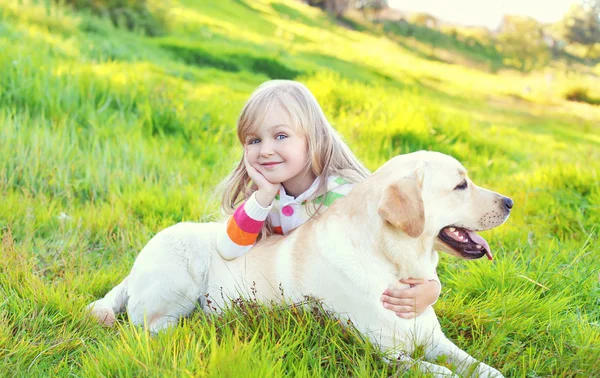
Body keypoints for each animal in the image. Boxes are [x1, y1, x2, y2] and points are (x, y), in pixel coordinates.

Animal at [88, 152, 510, 376]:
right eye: (461, 185)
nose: (510, 202)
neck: (392, 261)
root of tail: (134, 267)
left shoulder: (436, 340)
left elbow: (478, 365)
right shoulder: (382, 351)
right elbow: (436, 370)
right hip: (177, 276)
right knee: (149, 327)